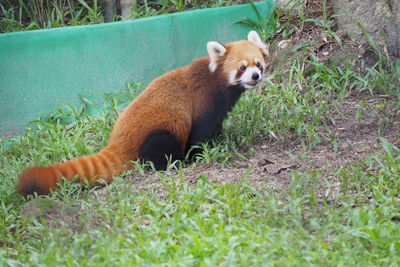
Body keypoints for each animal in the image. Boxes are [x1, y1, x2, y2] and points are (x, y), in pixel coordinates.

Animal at [16, 30, 268, 197]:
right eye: (242, 67)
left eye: (258, 64)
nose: (255, 76)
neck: (217, 82)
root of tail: (119, 140)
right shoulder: (204, 104)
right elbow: (199, 134)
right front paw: (199, 154)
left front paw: (220, 140)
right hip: (160, 129)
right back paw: (172, 163)